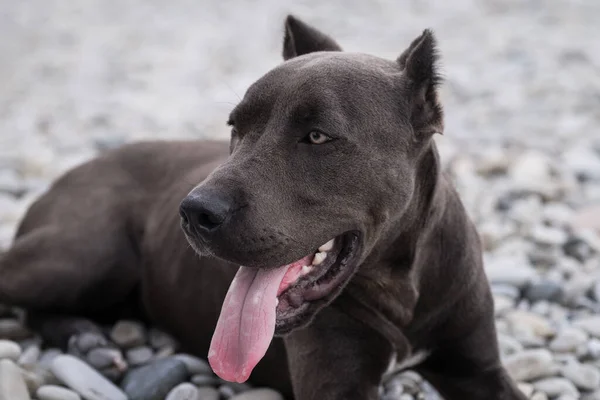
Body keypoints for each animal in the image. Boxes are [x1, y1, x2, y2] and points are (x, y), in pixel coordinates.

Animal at [0, 14, 524, 400]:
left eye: (318, 136)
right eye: (236, 127)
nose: (194, 212)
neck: (400, 283)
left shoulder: (479, 369)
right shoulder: (336, 384)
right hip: (85, 256)